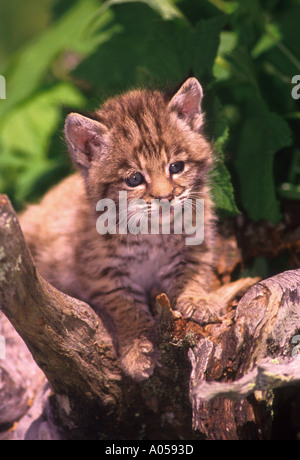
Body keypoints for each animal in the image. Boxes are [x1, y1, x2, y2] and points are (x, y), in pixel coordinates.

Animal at [19, 78, 220, 380]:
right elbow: (126, 307)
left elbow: (194, 272)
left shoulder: (196, 242)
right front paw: (137, 350)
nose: (165, 198)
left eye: (176, 167)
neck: (152, 231)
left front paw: (199, 299)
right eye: (134, 179)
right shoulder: (103, 272)